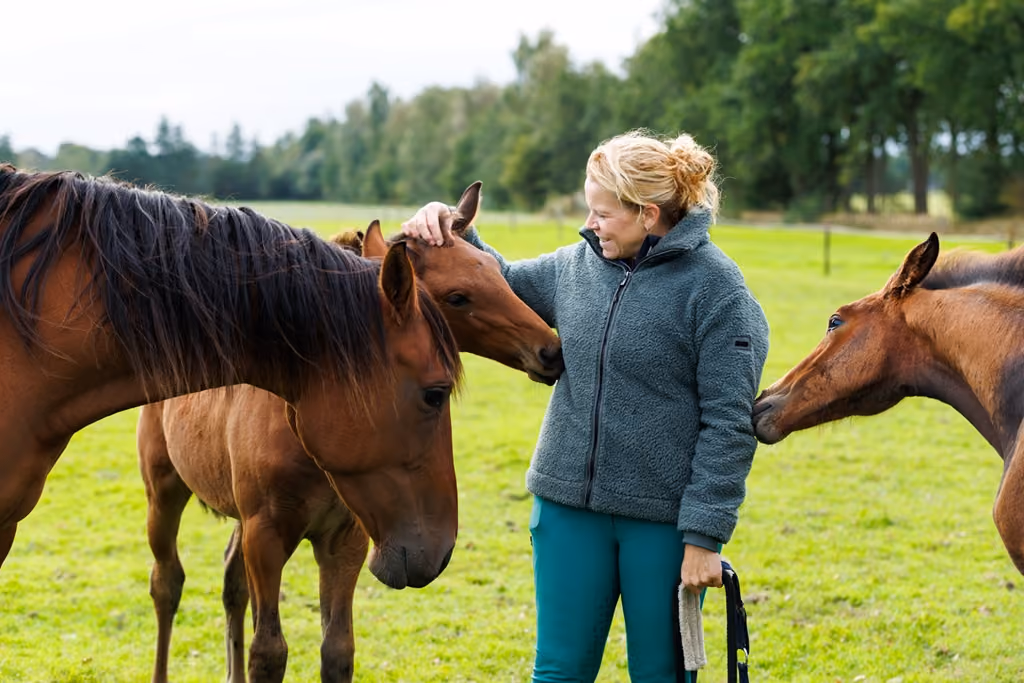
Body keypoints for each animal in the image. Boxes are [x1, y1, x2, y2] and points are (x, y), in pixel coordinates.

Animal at [138, 181, 563, 683]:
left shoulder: (347, 539)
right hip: (164, 490)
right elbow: (269, 651)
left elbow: (337, 650)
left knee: (231, 584)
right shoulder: (266, 536)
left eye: (498, 273)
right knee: (167, 583)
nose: (550, 350)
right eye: (458, 297)